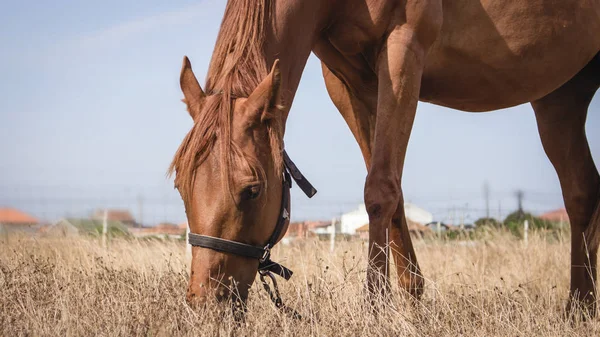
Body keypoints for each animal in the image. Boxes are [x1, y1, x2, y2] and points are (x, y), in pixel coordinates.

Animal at [170, 0, 600, 316]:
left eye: (253, 190)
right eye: (180, 187)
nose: (205, 305)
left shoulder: (403, 48)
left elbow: (378, 188)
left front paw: (375, 304)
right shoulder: (348, 81)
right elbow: (392, 187)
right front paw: (410, 299)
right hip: (561, 93)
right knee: (581, 190)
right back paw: (580, 307)